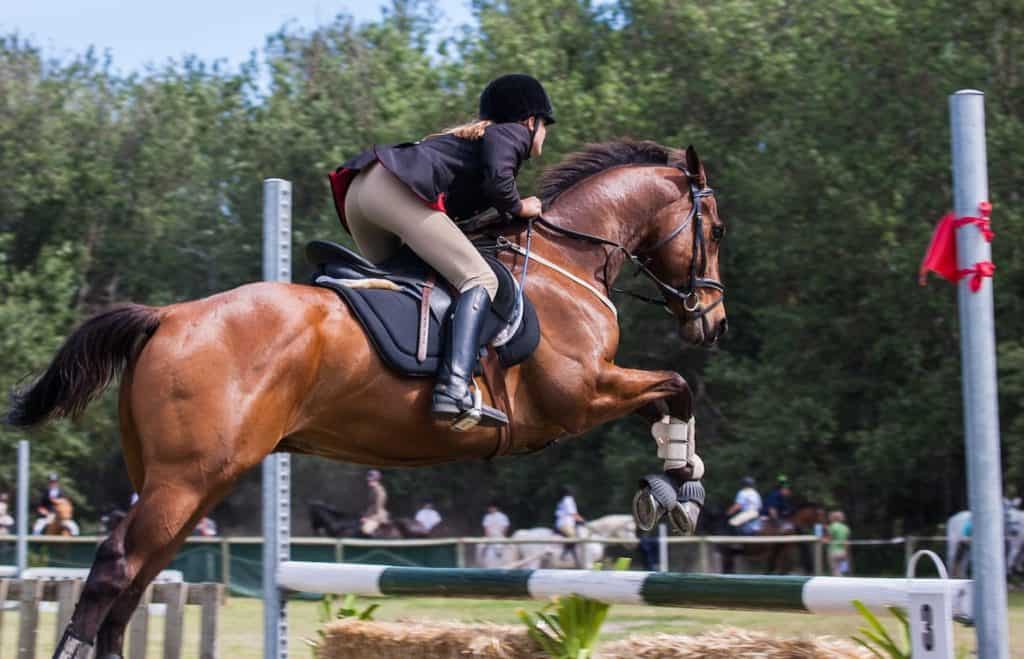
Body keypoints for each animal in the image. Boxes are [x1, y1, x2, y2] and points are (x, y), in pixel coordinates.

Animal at [7, 141, 727, 658]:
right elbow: (676, 386)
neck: (564, 263)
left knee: (140, 578)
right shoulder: (578, 396)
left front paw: (678, 481)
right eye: (714, 228)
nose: (712, 322)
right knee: (115, 566)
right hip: (183, 481)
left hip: (191, 482)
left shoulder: (592, 392)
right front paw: (678, 491)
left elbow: (666, 397)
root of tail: (166, 317)